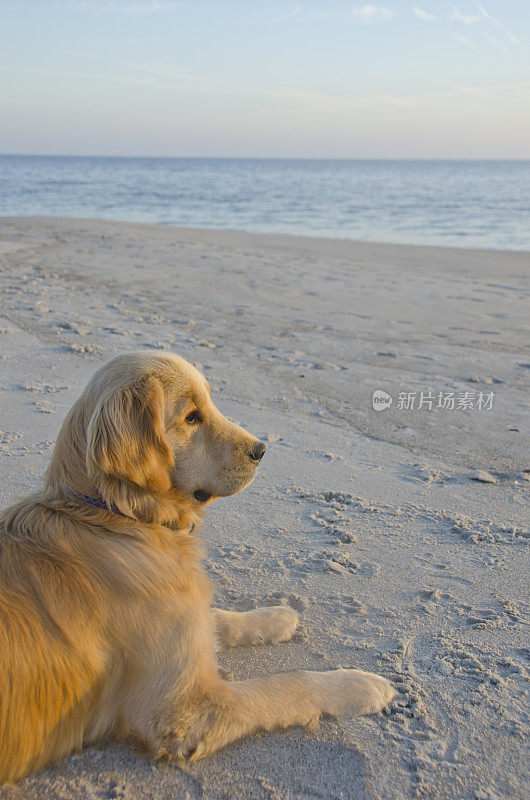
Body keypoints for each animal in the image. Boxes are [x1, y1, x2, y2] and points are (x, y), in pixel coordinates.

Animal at [0, 352, 392, 780]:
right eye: (191, 417)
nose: (261, 449)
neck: (118, 520)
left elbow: (216, 617)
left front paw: (274, 617)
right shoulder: (187, 711)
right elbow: (289, 683)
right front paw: (359, 685)